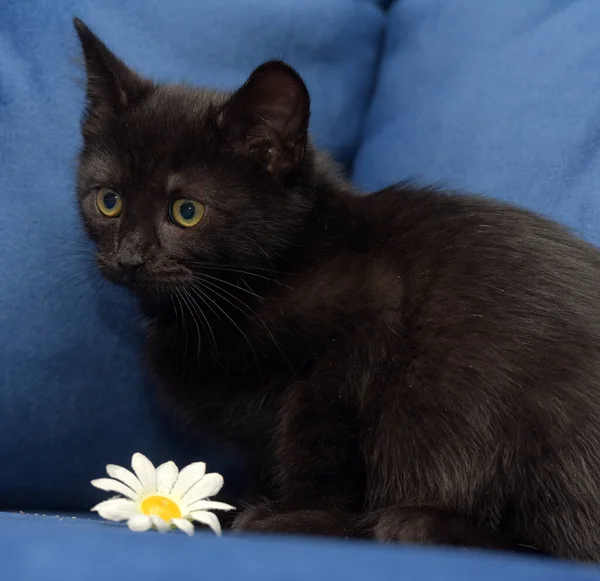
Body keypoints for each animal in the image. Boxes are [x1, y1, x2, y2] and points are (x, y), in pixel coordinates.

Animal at [74, 20, 600, 560]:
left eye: (186, 211)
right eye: (109, 201)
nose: (130, 257)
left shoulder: (362, 329)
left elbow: (317, 443)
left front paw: (297, 516)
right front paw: (236, 503)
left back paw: (417, 523)